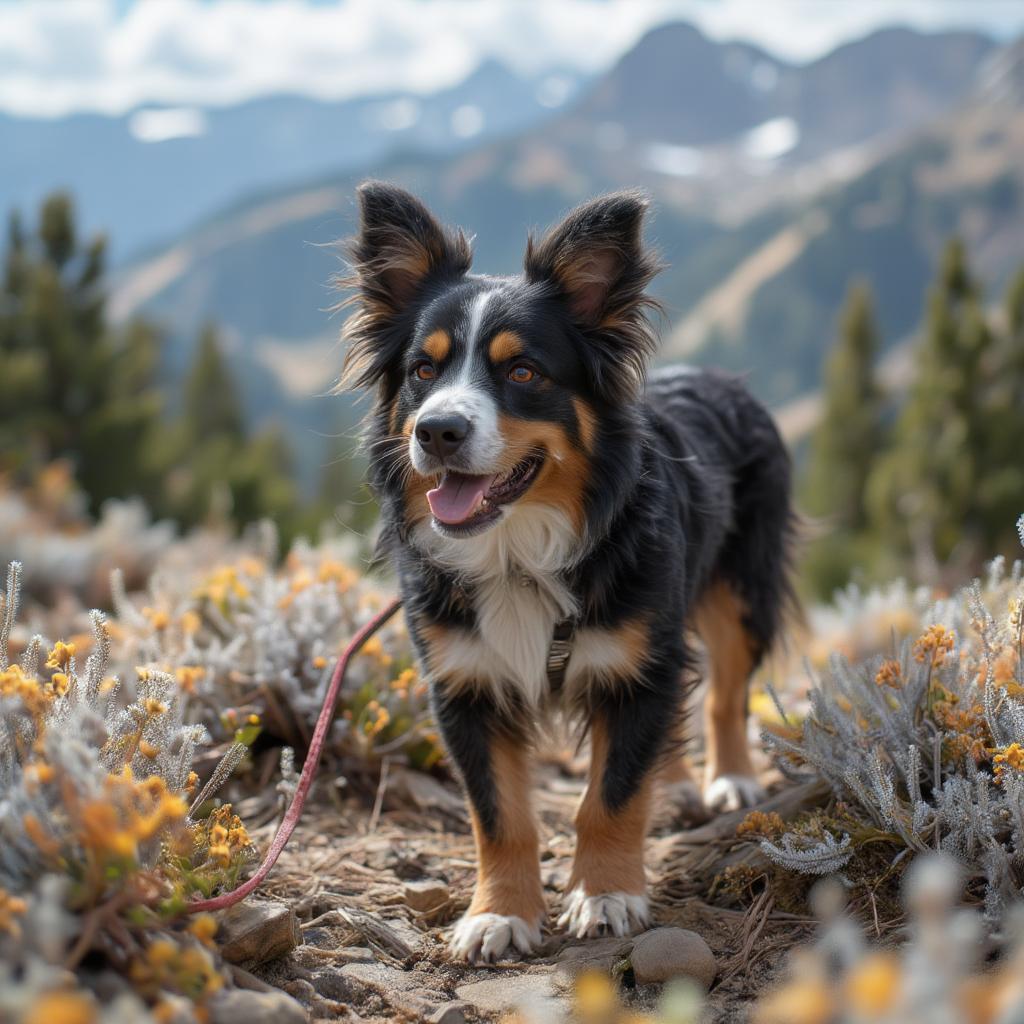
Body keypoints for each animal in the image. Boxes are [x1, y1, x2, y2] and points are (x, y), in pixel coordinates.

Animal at [339, 182, 794, 958]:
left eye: (523, 371)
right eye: (424, 370)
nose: (437, 431)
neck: (518, 552)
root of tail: (722, 379)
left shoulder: (637, 664)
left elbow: (610, 794)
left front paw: (607, 894)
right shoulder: (464, 684)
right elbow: (499, 814)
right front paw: (499, 914)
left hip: (739, 591)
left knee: (724, 693)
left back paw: (729, 779)